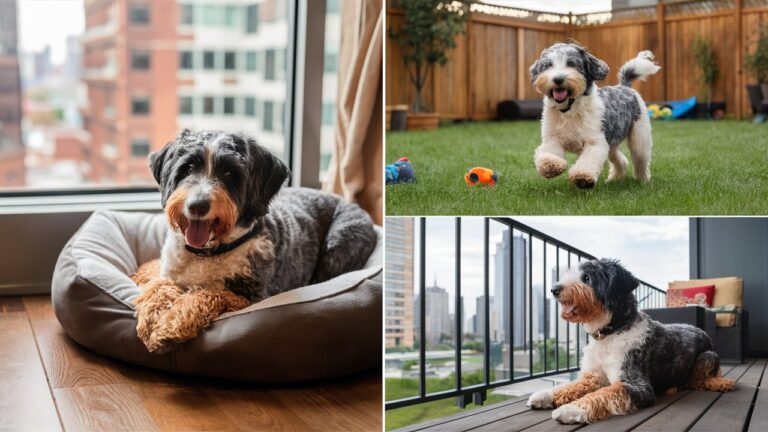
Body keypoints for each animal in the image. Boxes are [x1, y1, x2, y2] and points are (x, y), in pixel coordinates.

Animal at [133, 130, 378, 352]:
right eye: (189, 167)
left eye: (229, 172)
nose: (197, 205)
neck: (210, 252)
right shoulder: (171, 274)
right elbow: (160, 285)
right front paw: (151, 313)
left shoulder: (251, 298)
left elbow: (207, 293)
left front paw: (172, 324)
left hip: (339, 244)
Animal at [524, 258, 736, 424]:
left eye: (587, 278)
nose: (554, 289)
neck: (611, 332)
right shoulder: (593, 376)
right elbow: (570, 386)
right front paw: (544, 395)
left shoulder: (637, 385)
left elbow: (605, 393)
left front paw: (572, 409)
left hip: (708, 356)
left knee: (699, 380)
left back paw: (719, 384)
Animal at [528, 41, 660, 188]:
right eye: (548, 65)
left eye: (571, 63)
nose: (558, 79)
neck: (570, 110)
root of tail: (624, 86)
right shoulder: (552, 139)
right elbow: (548, 154)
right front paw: (550, 165)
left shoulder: (595, 141)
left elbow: (588, 161)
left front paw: (582, 177)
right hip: (612, 144)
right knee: (621, 160)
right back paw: (614, 179)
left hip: (640, 138)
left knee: (641, 160)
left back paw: (643, 181)